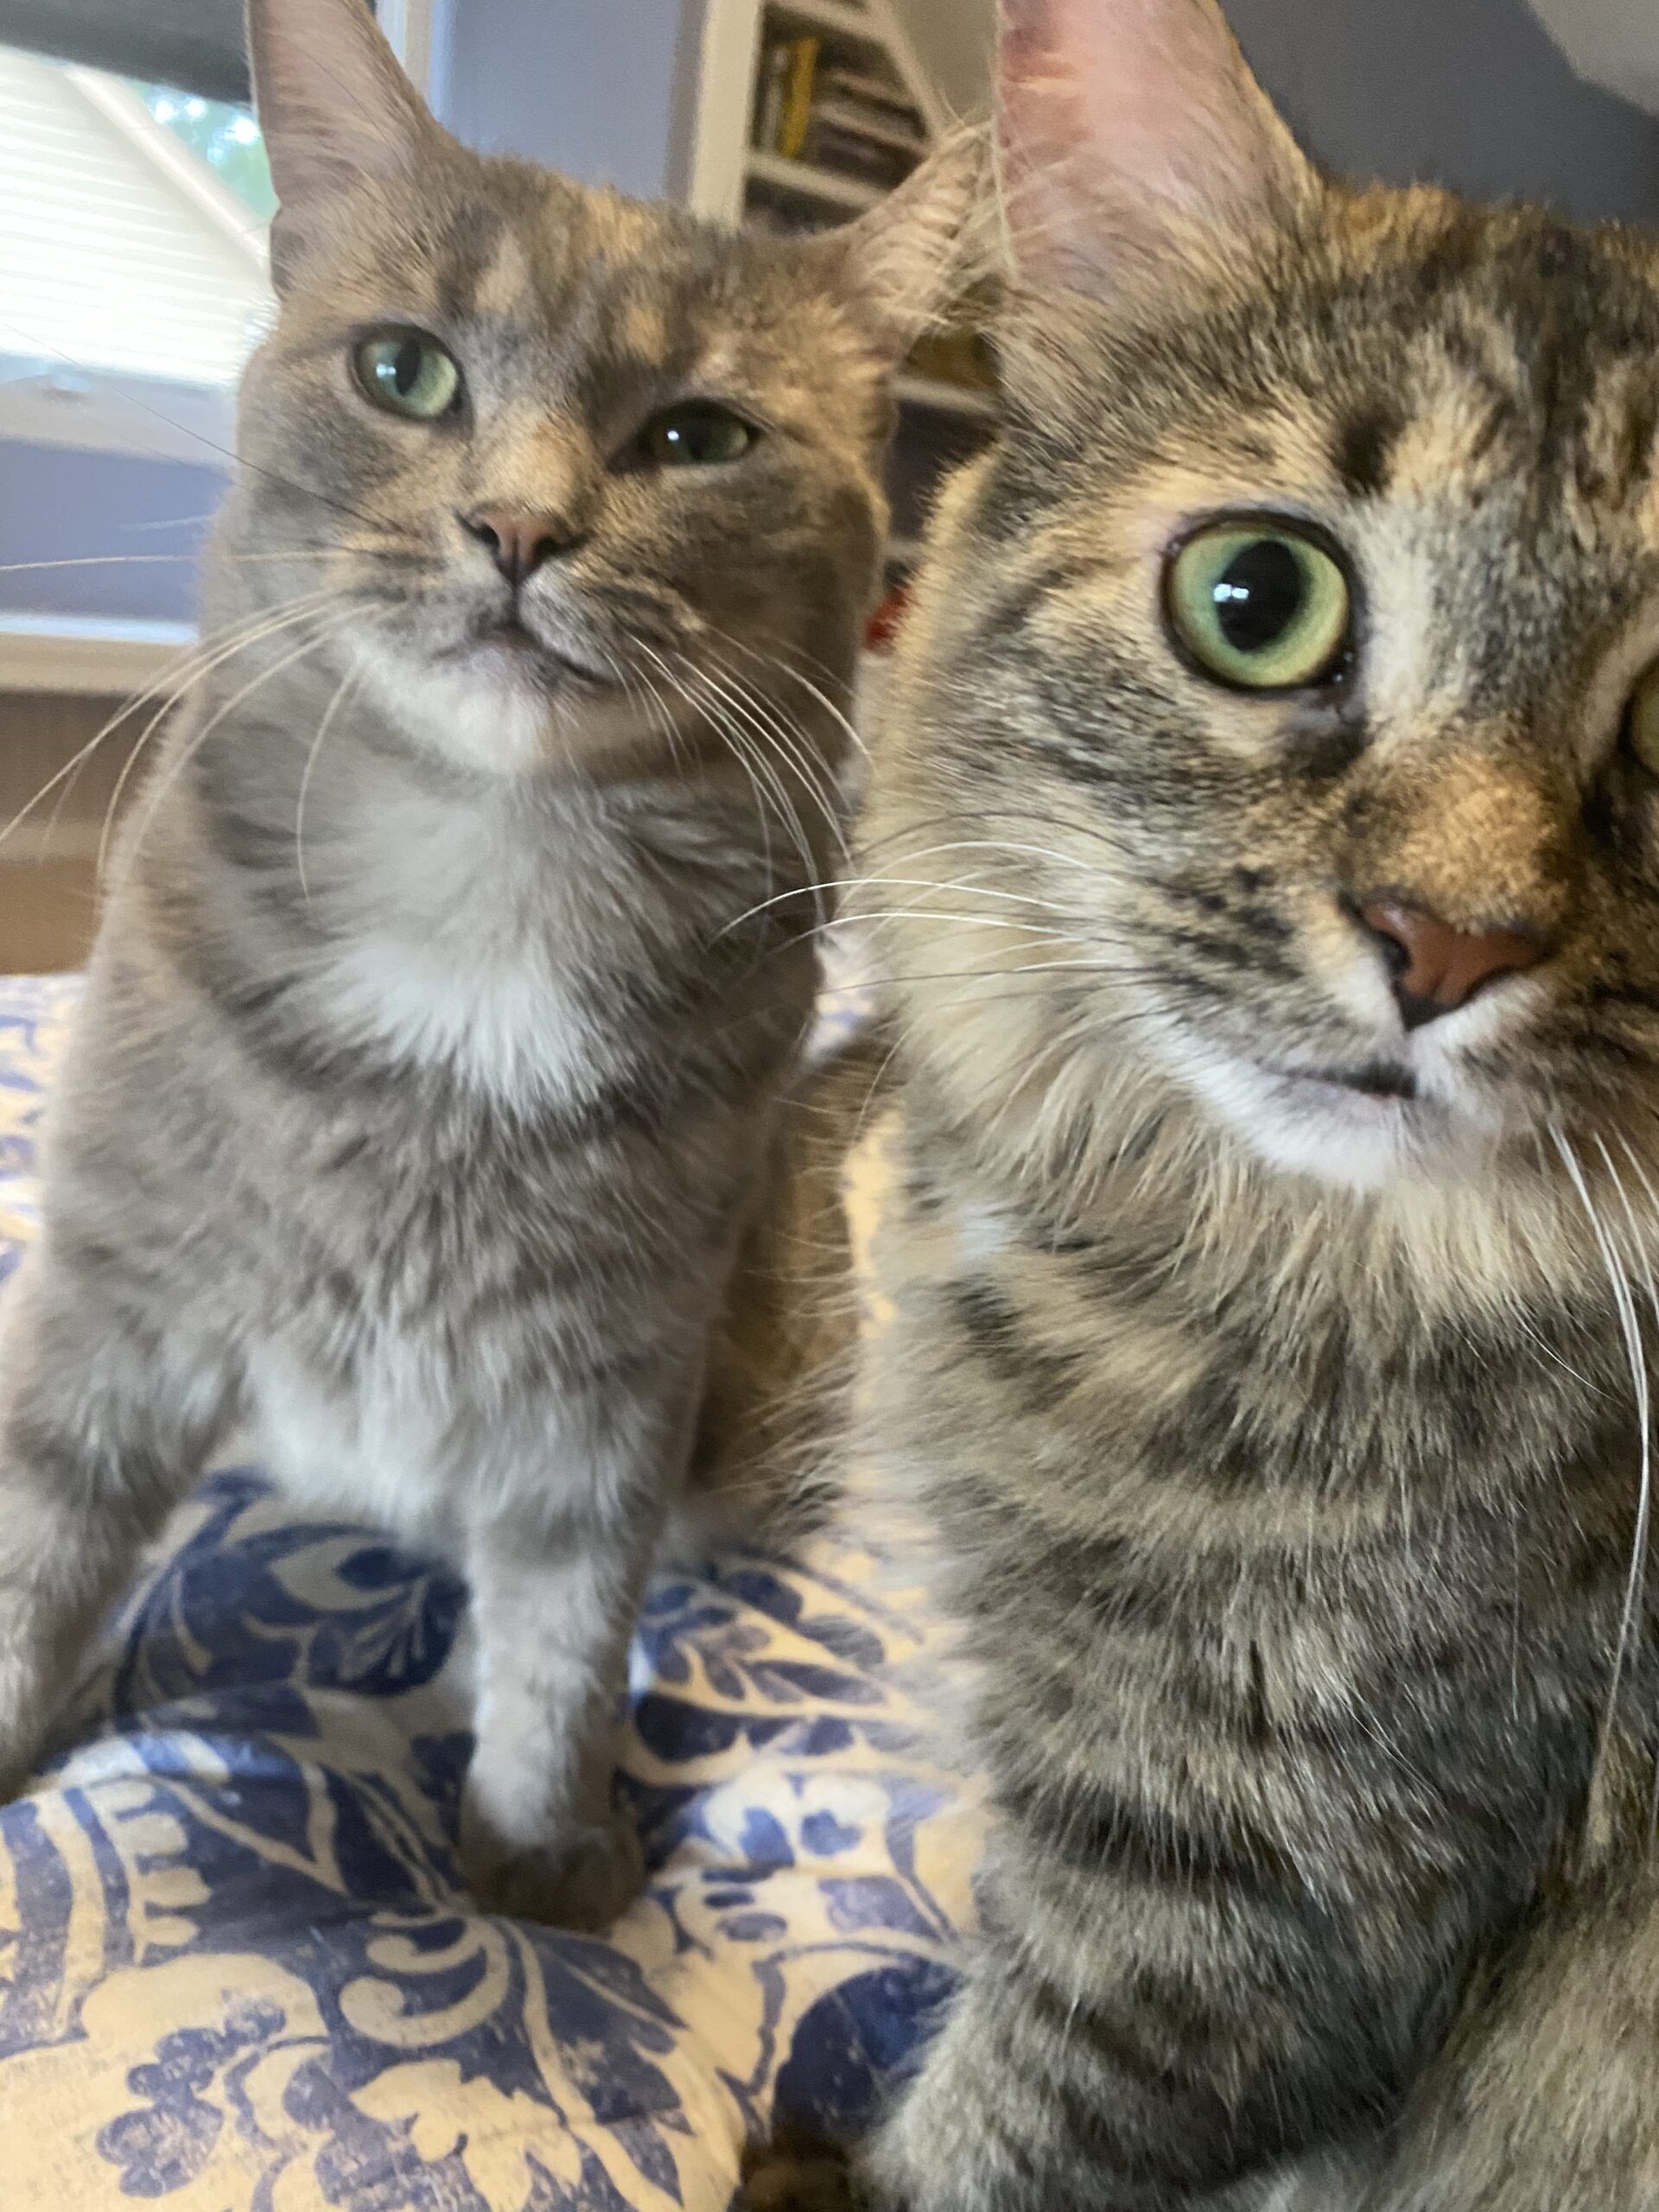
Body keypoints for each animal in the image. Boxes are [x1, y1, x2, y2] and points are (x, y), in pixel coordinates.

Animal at [0, 0, 973, 1929]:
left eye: (700, 434)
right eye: (405, 372)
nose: (520, 530)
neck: (484, 885)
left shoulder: (605, 1388)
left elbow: (568, 1626)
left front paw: (539, 1860)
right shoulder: (110, 1303)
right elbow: (40, 1542)